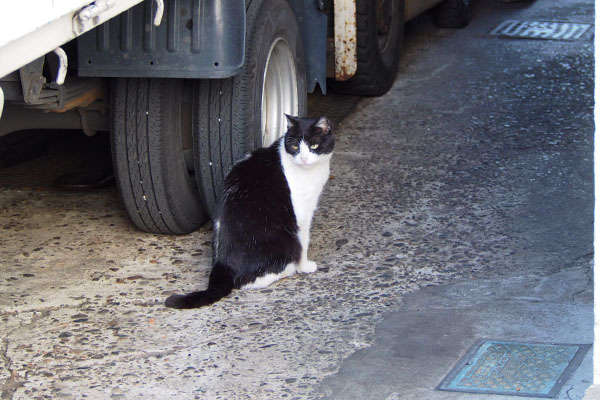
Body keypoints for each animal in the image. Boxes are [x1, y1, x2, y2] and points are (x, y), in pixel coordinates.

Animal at [165, 115, 332, 310]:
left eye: (314, 146)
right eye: (295, 147)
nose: (304, 159)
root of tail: (221, 262)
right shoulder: (302, 213)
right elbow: (304, 241)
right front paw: (304, 266)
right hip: (284, 239)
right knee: (245, 282)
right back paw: (288, 269)